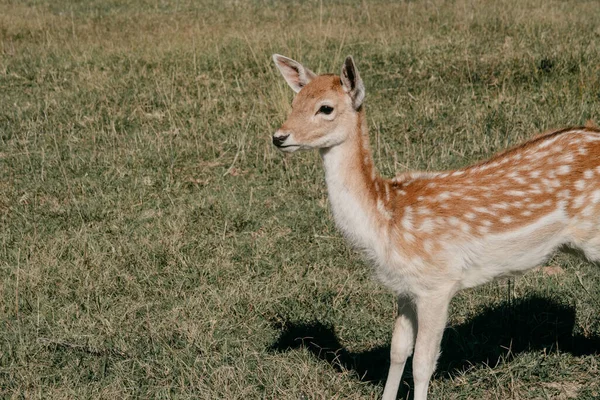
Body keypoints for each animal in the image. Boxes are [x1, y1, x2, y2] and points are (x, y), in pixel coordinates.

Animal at [270, 54, 600, 400]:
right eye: (294, 102)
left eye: (325, 108)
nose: (279, 137)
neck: (385, 218)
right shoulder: (404, 287)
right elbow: (398, 351)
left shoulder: (437, 283)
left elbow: (423, 363)